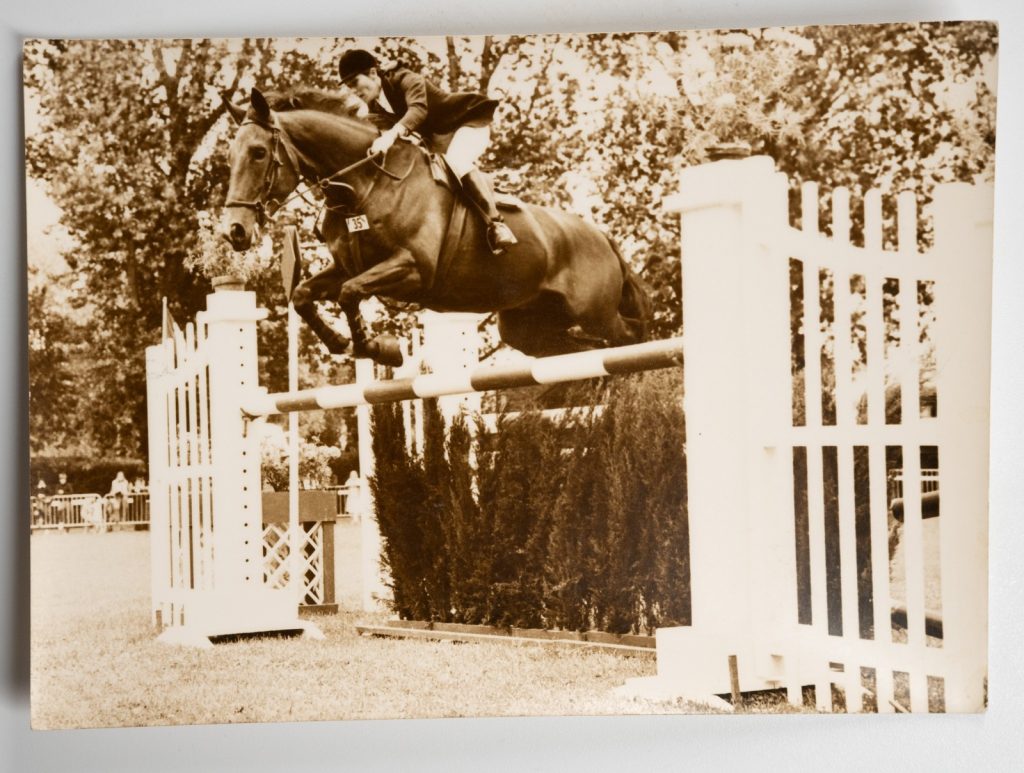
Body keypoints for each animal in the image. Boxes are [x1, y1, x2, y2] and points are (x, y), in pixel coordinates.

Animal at [221, 87, 651, 367]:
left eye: (258, 153)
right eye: (229, 156)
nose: (235, 232)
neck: (365, 185)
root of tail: (602, 238)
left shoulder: (413, 269)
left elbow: (349, 293)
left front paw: (375, 348)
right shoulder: (349, 267)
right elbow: (303, 295)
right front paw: (344, 342)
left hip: (596, 313)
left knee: (630, 339)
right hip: (528, 327)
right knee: (581, 352)